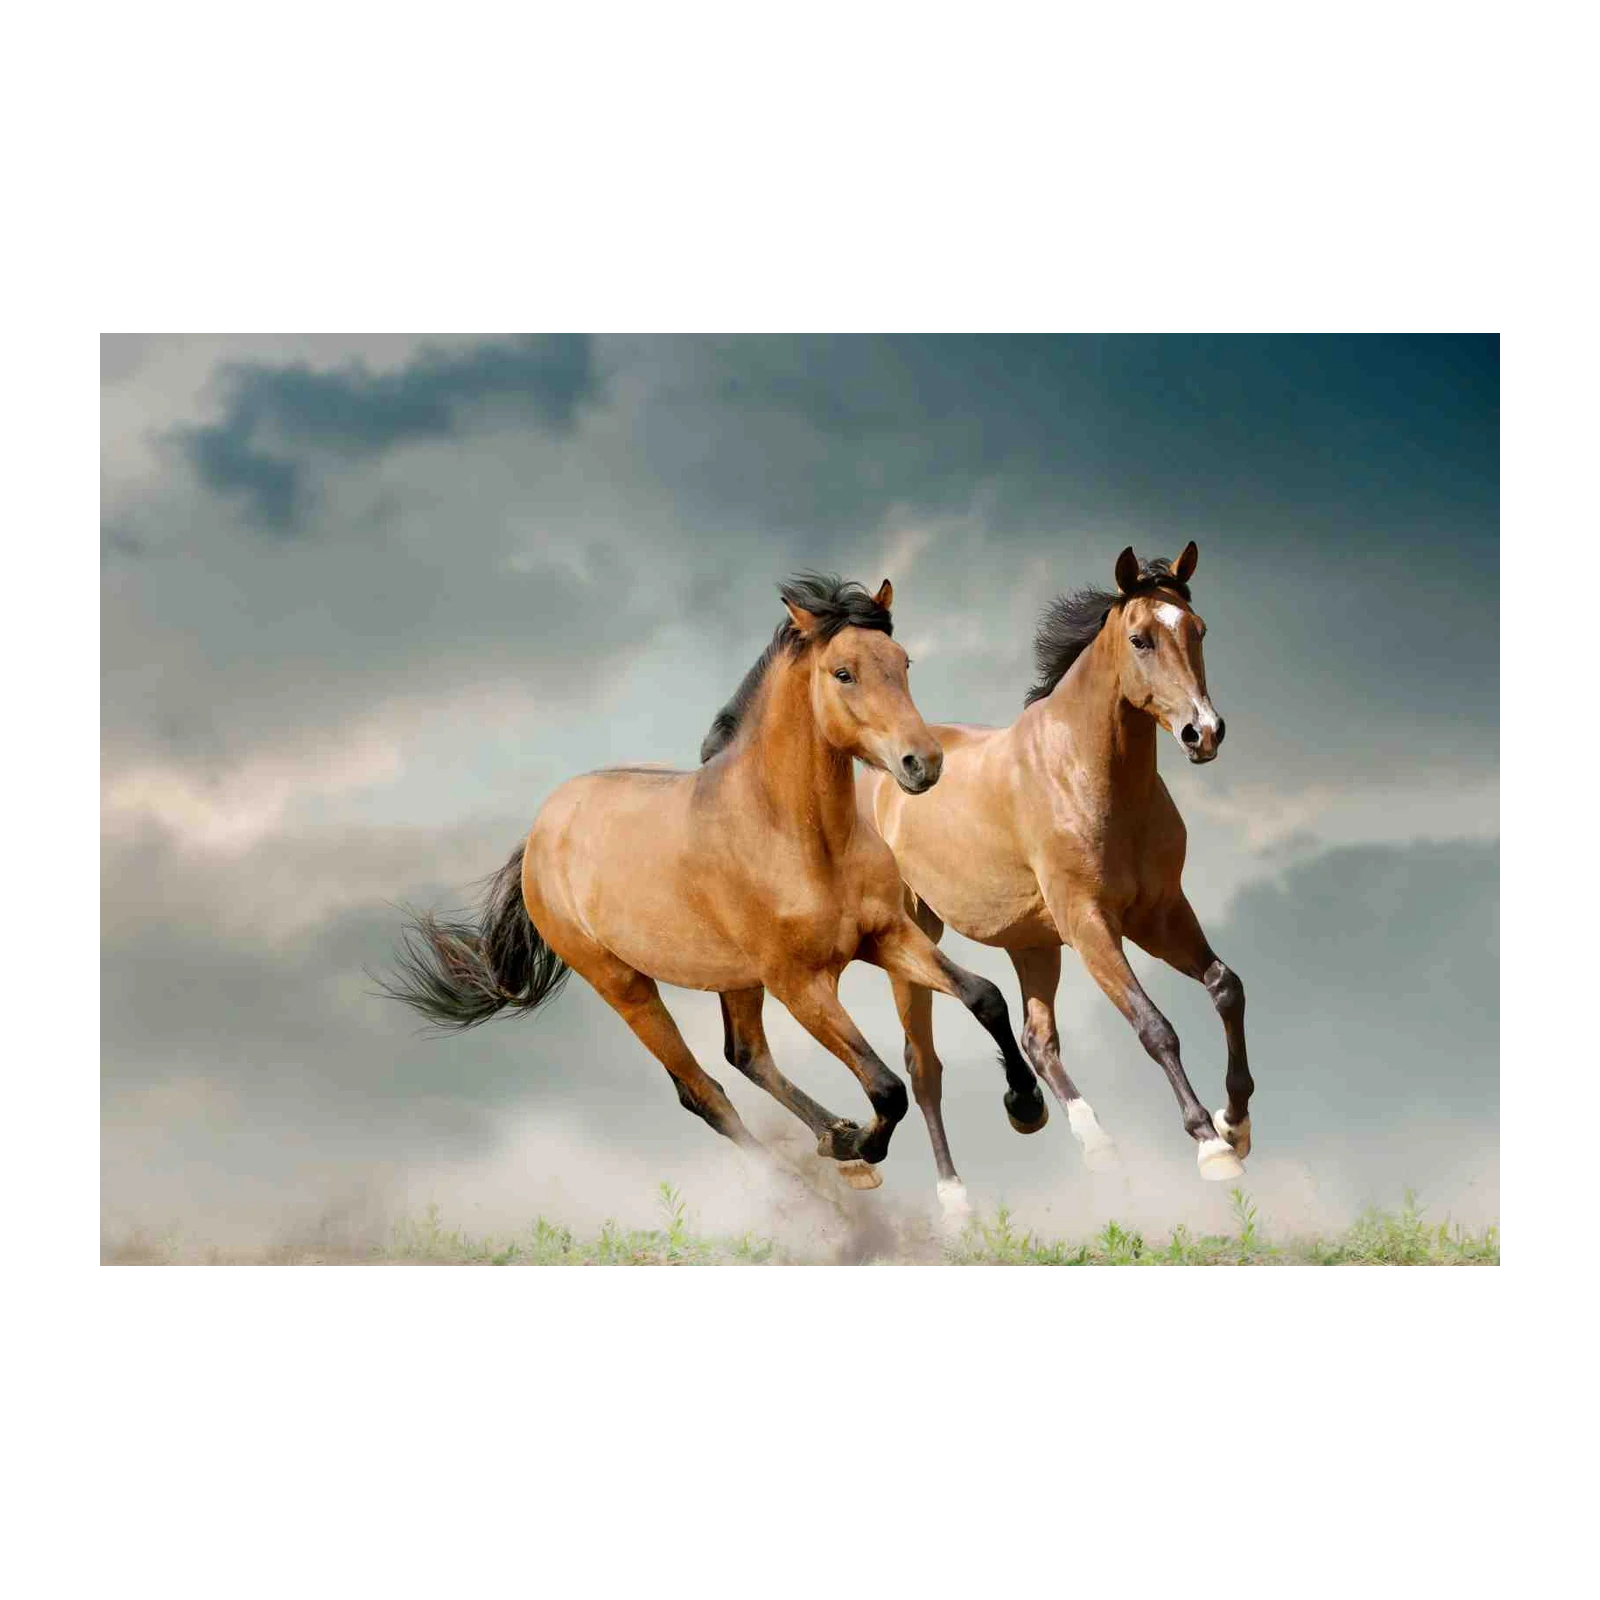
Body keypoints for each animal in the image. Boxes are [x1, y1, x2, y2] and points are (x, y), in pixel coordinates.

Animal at [378, 573, 1048, 1190]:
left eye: (902, 662)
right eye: (843, 673)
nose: (923, 763)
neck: (799, 836)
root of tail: (541, 834)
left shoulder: (885, 936)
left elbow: (984, 996)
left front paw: (1025, 1107)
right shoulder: (800, 984)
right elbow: (885, 1088)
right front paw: (863, 1145)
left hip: (735, 978)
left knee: (745, 1055)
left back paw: (834, 1139)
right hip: (625, 985)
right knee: (703, 1091)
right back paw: (814, 1179)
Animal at [714, 543, 1254, 1224]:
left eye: (1197, 630)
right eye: (1140, 638)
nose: (1202, 732)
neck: (1086, 775)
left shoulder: (1160, 914)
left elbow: (1225, 987)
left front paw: (1235, 1122)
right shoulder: (1091, 924)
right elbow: (1154, 1026)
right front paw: (1212, 1148)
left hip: (1033, 942)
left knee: (1038, 1040)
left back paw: (1082, 1136)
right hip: (917, 939)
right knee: (925, 1067)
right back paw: (956, 1198)